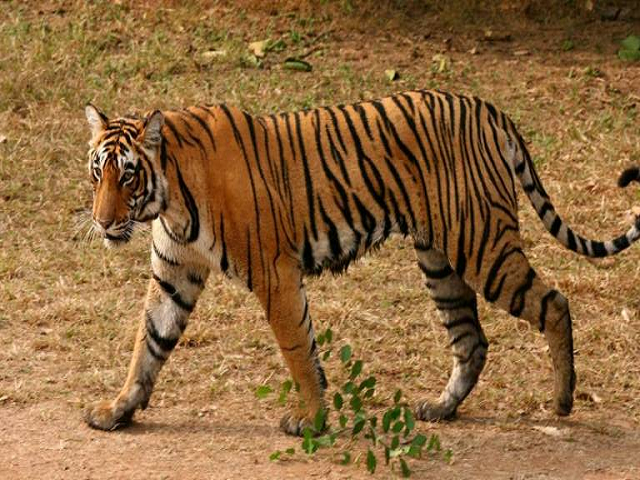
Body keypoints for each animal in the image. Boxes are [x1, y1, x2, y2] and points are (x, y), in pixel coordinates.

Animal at [81, 90, 640, 436]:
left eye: (128, 175)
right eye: (97, 172)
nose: (103, 222)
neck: (169, 198)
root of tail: (487, 108)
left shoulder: (275, 274)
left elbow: (297, 349)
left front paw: (310, 419)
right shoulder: (173, 274)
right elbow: (147, 344)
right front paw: (117, 410)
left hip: (483, 246)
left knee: (554, 303)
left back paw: (563, 401)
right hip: (440, 260)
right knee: (472, 340)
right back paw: (441, 407)